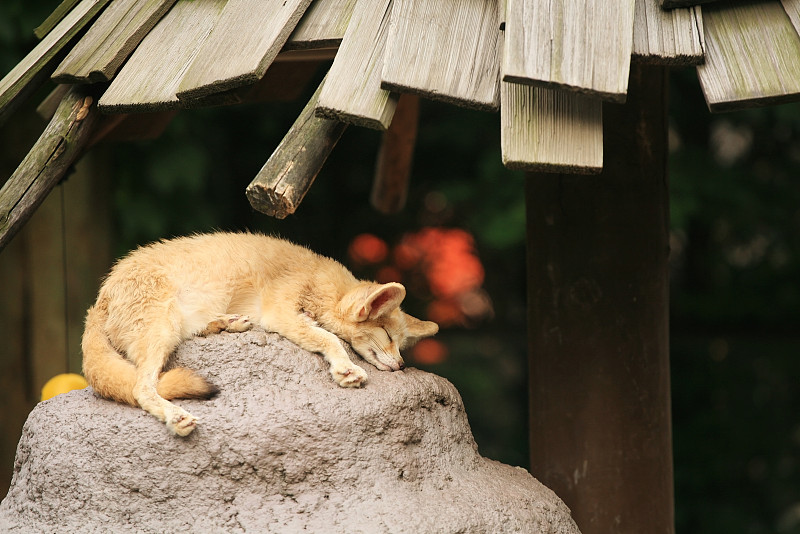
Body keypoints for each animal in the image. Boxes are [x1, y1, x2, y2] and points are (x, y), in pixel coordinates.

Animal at [81, 232, 438, 438]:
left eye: (401, 343)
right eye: (386, 334)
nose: (402, 365)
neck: (315, 279)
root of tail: (100, 297)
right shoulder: (278, 313)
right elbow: (330, 338)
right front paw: (346, 368)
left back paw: (225, 323)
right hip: (162, 329)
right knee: (142, 389)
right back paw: (176, 417)